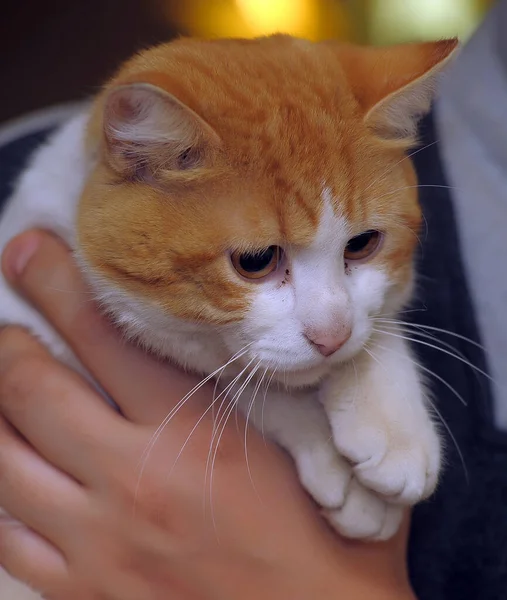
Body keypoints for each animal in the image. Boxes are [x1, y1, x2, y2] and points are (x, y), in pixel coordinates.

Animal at [0, 35, 458, 596]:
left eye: (363, 244)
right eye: (256, 261)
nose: (329, 335)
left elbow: (374, 325)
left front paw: (393, 417)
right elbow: (238, 385)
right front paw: (328, 453)